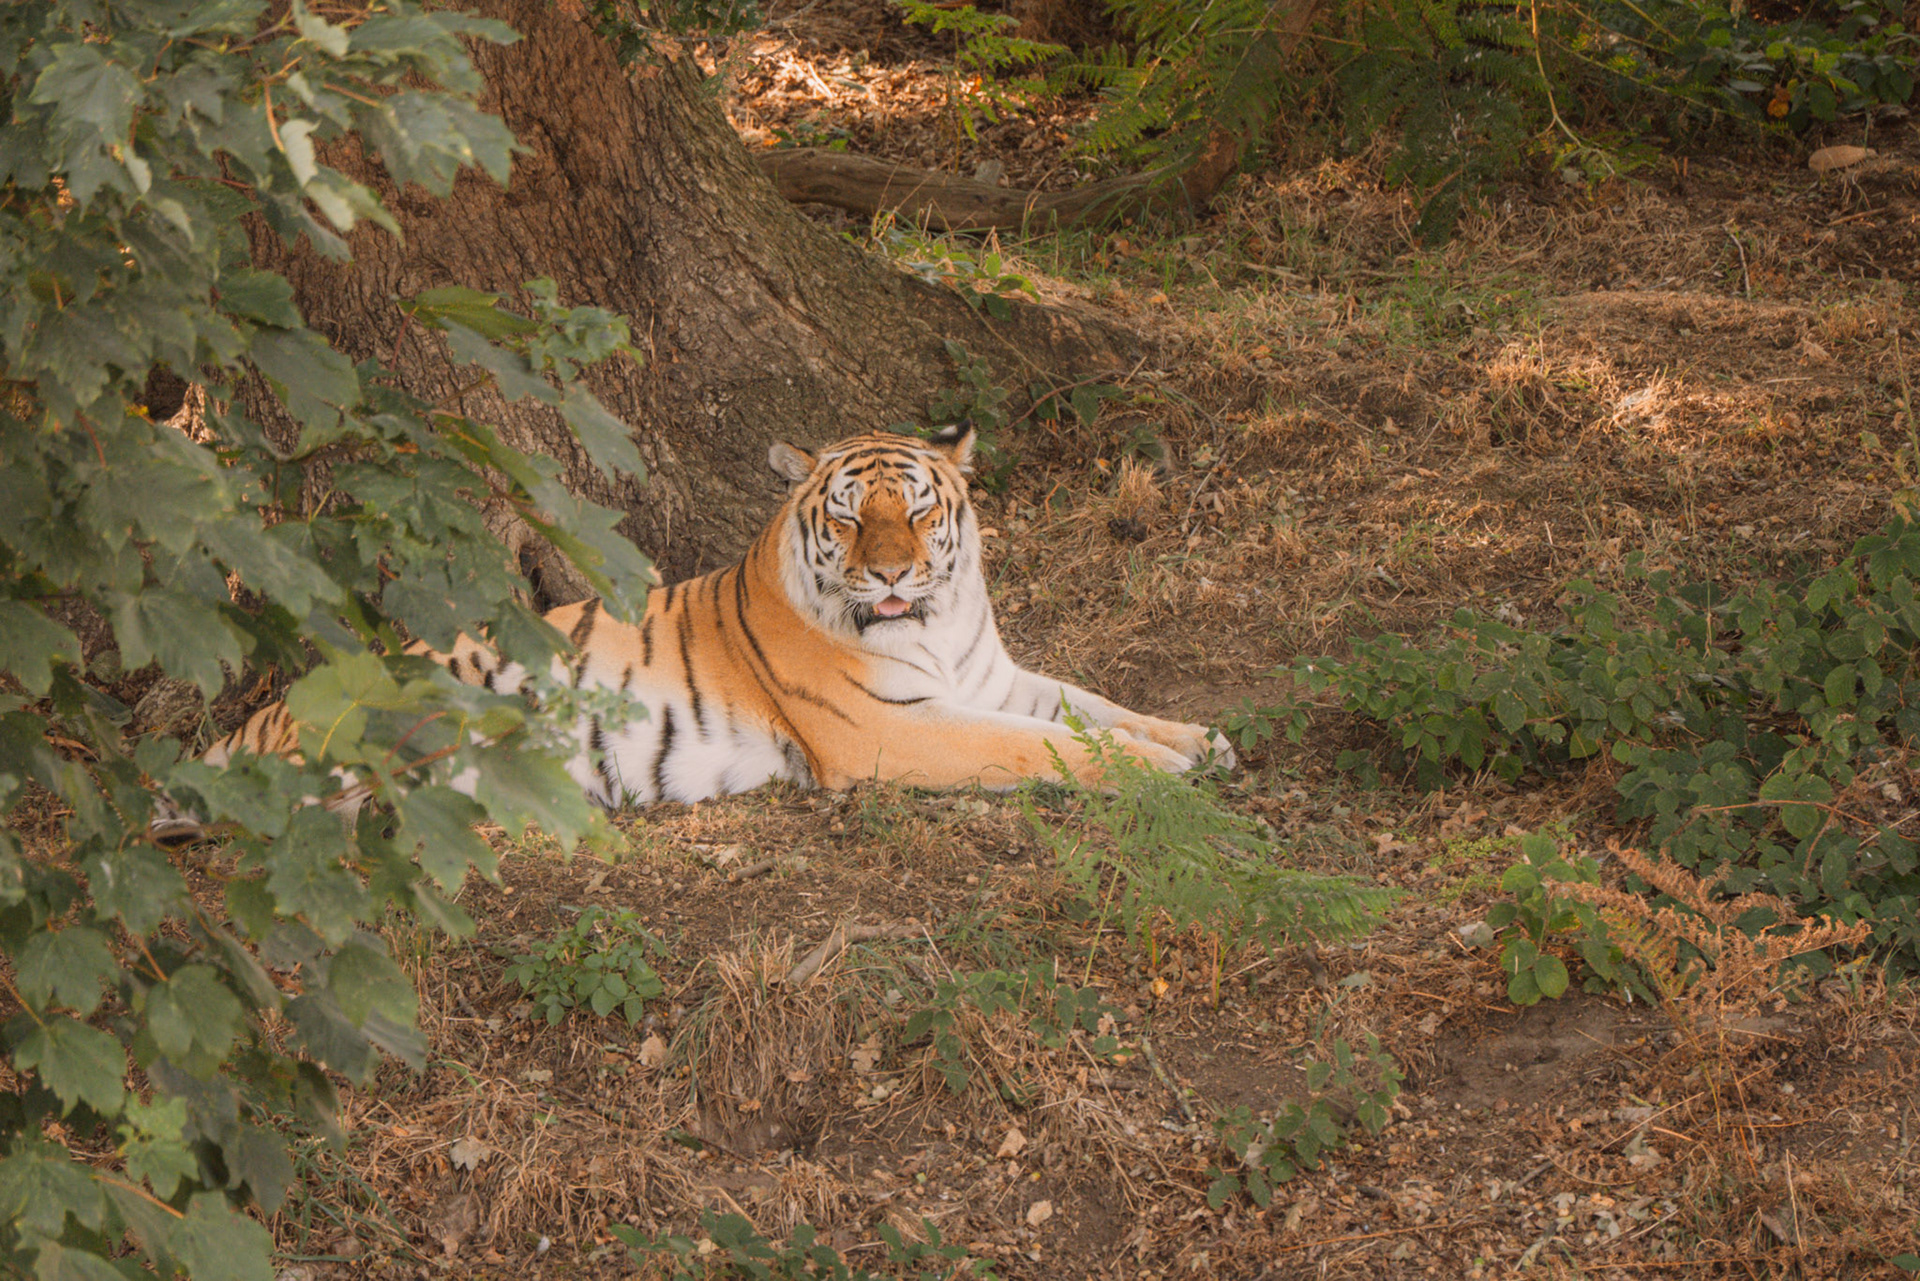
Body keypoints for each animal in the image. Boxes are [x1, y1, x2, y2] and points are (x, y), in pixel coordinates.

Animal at [152, 426, 1232, 840]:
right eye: (850, 517)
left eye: (920, 512)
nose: (890, 573)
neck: (935, 624)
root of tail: (261, 716)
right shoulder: (895, 727)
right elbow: (1043, 745)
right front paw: (1160, 773)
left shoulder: (990, 677)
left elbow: (1093, 705)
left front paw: (1200, 740)